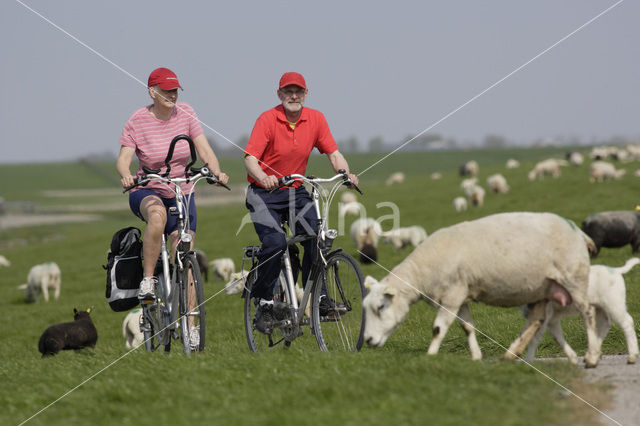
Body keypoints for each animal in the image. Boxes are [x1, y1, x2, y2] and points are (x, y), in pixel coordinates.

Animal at [362, 213, 604, 370]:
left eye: (381, 307)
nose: (368, 340)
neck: (421, 273)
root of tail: (579, 233)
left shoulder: (451, 297)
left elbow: (439, 329)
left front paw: (429, 356)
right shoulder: (460, 297)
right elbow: (467, 327)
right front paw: (477, 356)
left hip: (574, 278)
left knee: (587, 313)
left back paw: (592, 357)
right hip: (541, 288)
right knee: (536, 320)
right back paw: (510, 355)